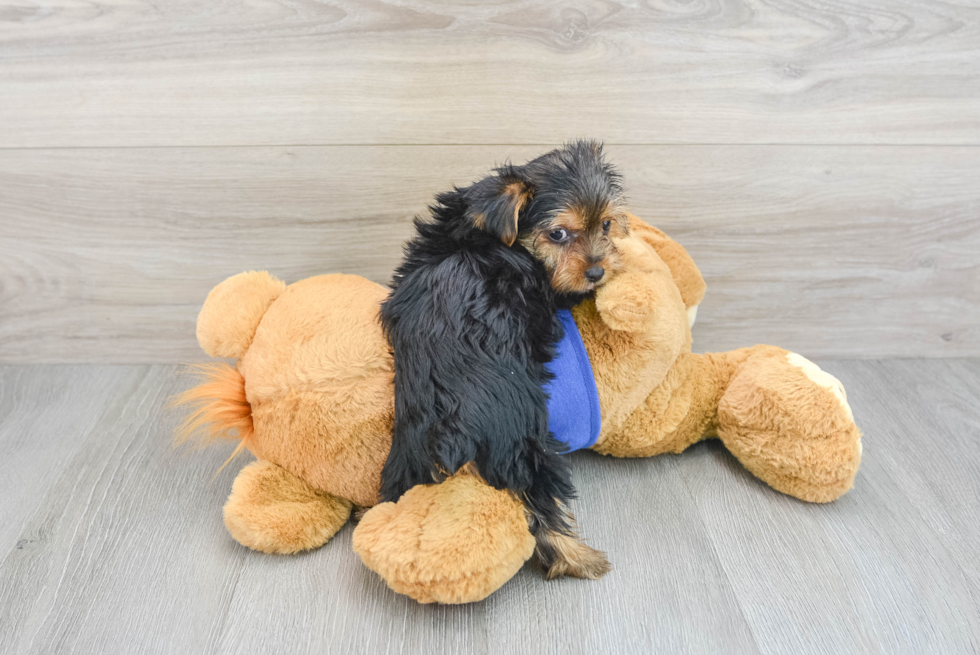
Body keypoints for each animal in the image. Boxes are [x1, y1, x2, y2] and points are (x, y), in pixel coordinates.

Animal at [378, 140, 624, 580]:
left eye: (608, 225)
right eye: (558, 234)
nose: (597, 272)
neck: (480, 234)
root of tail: (451, 432)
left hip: (407, 456)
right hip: (524, 443)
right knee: (540, 502)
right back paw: (580, 558)